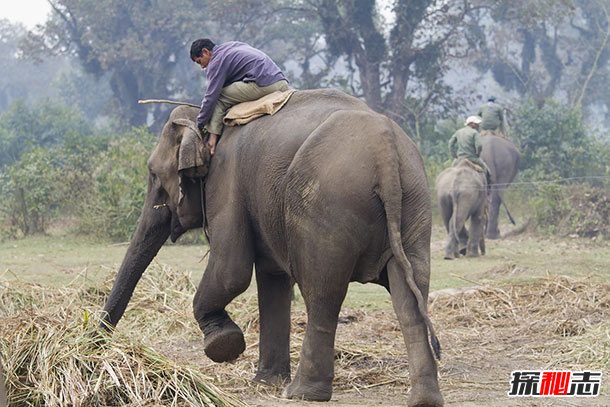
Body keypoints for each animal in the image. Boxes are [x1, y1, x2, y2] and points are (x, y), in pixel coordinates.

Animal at [100, 88, 442, 404]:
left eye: (153, 174)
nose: (97, 343)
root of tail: (385, 153)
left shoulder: (226, 182)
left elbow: (232, 271)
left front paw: (224, 344)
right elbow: (272, 277)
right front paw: (265, 383)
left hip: (326, 206)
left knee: (322, 294)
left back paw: (302, 394)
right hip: (414, 201)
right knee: (411, 297)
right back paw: (424, 400)